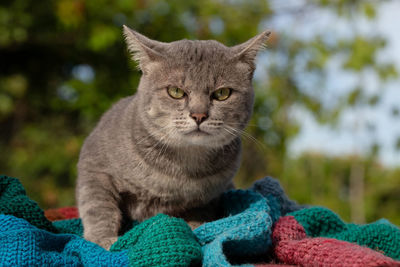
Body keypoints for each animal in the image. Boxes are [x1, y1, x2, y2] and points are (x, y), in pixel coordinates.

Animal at [76, 25, 270, 251]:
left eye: (222, 93)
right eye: (176, 91)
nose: (199, 115)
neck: (180, 171)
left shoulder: (210, 196)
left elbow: (199, 214)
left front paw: (195, 228)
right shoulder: (94, 165)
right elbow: (98, 206)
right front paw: (103, 239)